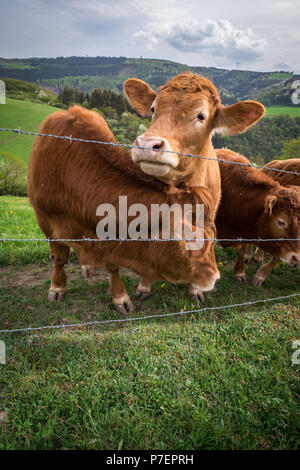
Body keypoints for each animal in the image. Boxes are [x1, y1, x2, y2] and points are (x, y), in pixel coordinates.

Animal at [27, 104, 220, 314]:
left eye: (212, 237)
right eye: (187, 239)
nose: (215, 276)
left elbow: (112, 265)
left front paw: (120, 297)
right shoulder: (46, 220)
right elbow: (60, 258)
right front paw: (57, 288)